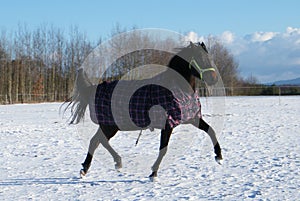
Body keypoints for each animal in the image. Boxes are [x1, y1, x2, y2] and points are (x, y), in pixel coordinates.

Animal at [65, 41, 223, 180]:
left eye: (209, 58)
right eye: (200, 58)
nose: (214, 79)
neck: (179, 90)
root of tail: (94, 88)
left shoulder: (192, 118)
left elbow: (211, 131)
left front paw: (219, 157)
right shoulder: (168, 124)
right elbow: (163, 149)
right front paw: (153, 173)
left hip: (109, 125)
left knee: (95, 141)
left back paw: (89, 168)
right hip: (110, 126)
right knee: (99, 141)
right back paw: (113, 162)